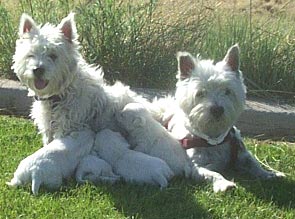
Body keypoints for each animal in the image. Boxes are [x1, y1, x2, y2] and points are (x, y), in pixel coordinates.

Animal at [7, 12, 173, 193]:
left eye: (53, 55)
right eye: (31, 54)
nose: (38, 70)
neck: (61, 95)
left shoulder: (68, 128)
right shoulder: (49, 128)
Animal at [156, 44, 286, 192]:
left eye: (227, 91)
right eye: (200, 93)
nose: (217, 109)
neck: (214, 139)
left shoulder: (241, 153)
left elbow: (254, 164)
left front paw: (270, 174)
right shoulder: (196, 166)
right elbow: (213, 174)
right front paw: (225, 184)